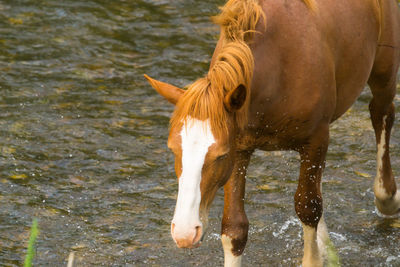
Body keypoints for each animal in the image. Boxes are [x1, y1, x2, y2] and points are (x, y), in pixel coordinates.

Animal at [144, 0, 400, 266]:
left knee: (381, 114)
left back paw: (387, 197)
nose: (184, 233)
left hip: (384, 72)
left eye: (220, 155)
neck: (278, 69)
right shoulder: (240, 148)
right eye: (173, 149)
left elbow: (307, 208)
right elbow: (234, 228)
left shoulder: (316, 139)